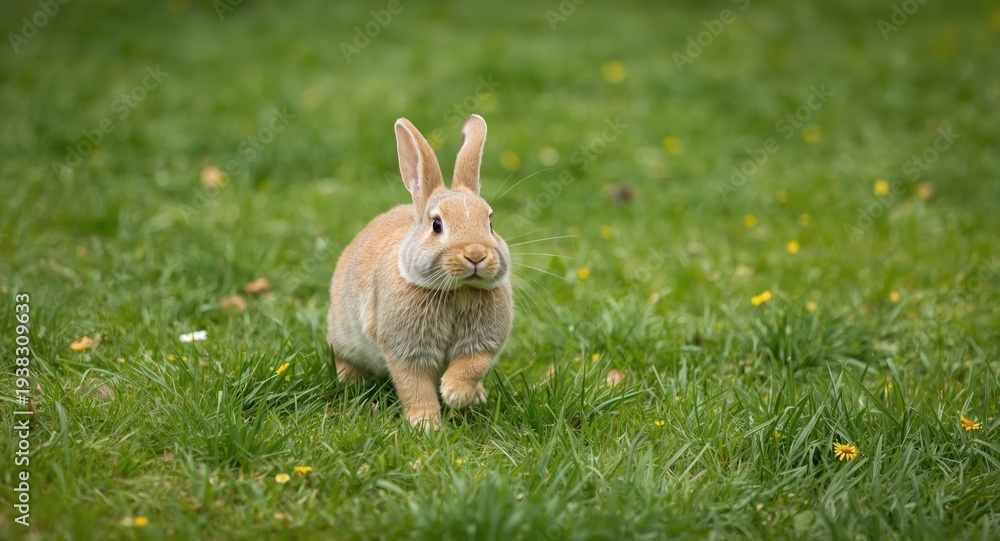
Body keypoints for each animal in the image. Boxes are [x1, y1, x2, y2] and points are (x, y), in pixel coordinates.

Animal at [327, 114, 513, 427]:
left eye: (490, 223)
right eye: (437, 225)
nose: (476, 254)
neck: (457, 291)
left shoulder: (483, 342)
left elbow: (473, 364)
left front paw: (455, 393)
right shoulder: (406, 350)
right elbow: (414, 386)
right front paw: (425, 424)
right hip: (342, 335)